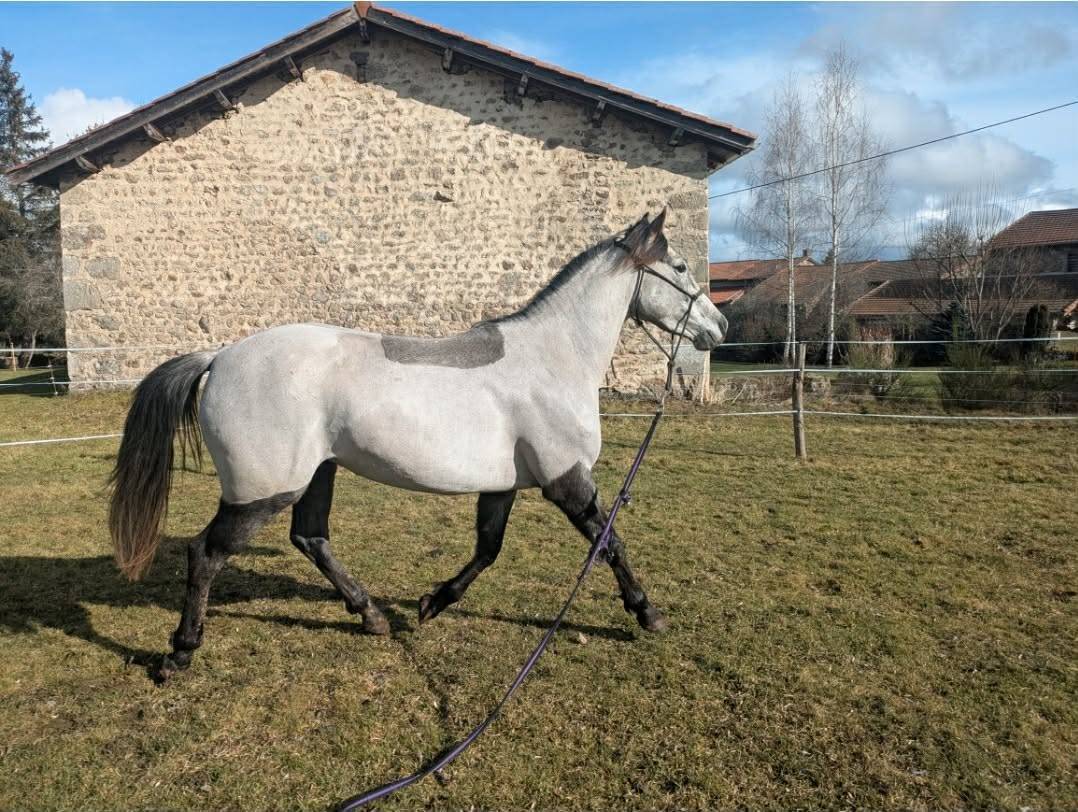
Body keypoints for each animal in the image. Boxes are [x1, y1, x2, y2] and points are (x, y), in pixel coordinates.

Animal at [108, 209, 728, 681]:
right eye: (679, 266)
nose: (718, 328)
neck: (553, 360)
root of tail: (218, 357)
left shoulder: (502, 486)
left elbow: (487, 549)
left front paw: (432, 603)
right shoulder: (567, 481)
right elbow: (610, 543)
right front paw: (648, 614)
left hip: (318, 474)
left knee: (311, 538)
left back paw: (372, 617)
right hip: (263, 491)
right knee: (205, 554)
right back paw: (179, 654)